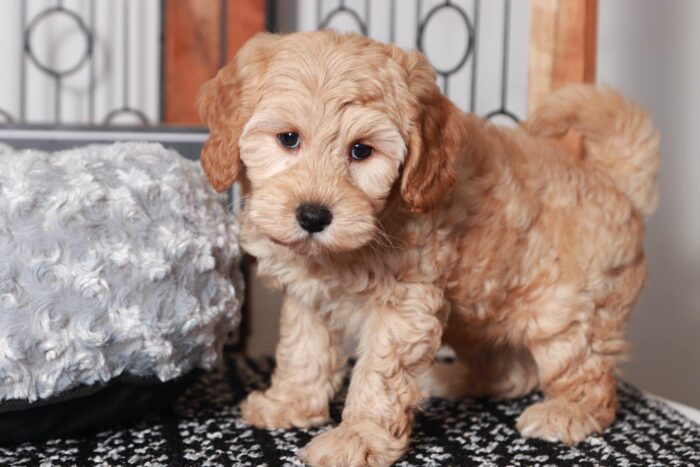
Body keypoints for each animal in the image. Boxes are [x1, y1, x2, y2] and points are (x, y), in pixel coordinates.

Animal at [198, 31, 660, 466]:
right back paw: (448, 381)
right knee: (512, 371)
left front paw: (356, 439)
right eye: (288, 139)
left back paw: (567, 412)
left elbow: (378, 376)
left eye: (361, 150)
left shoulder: (405, 303)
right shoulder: (308, 300)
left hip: (568, 311)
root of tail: (615, 183)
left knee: (586, 373)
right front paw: (288, 404)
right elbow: (304, 352)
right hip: (481, 310)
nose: (313, 216)